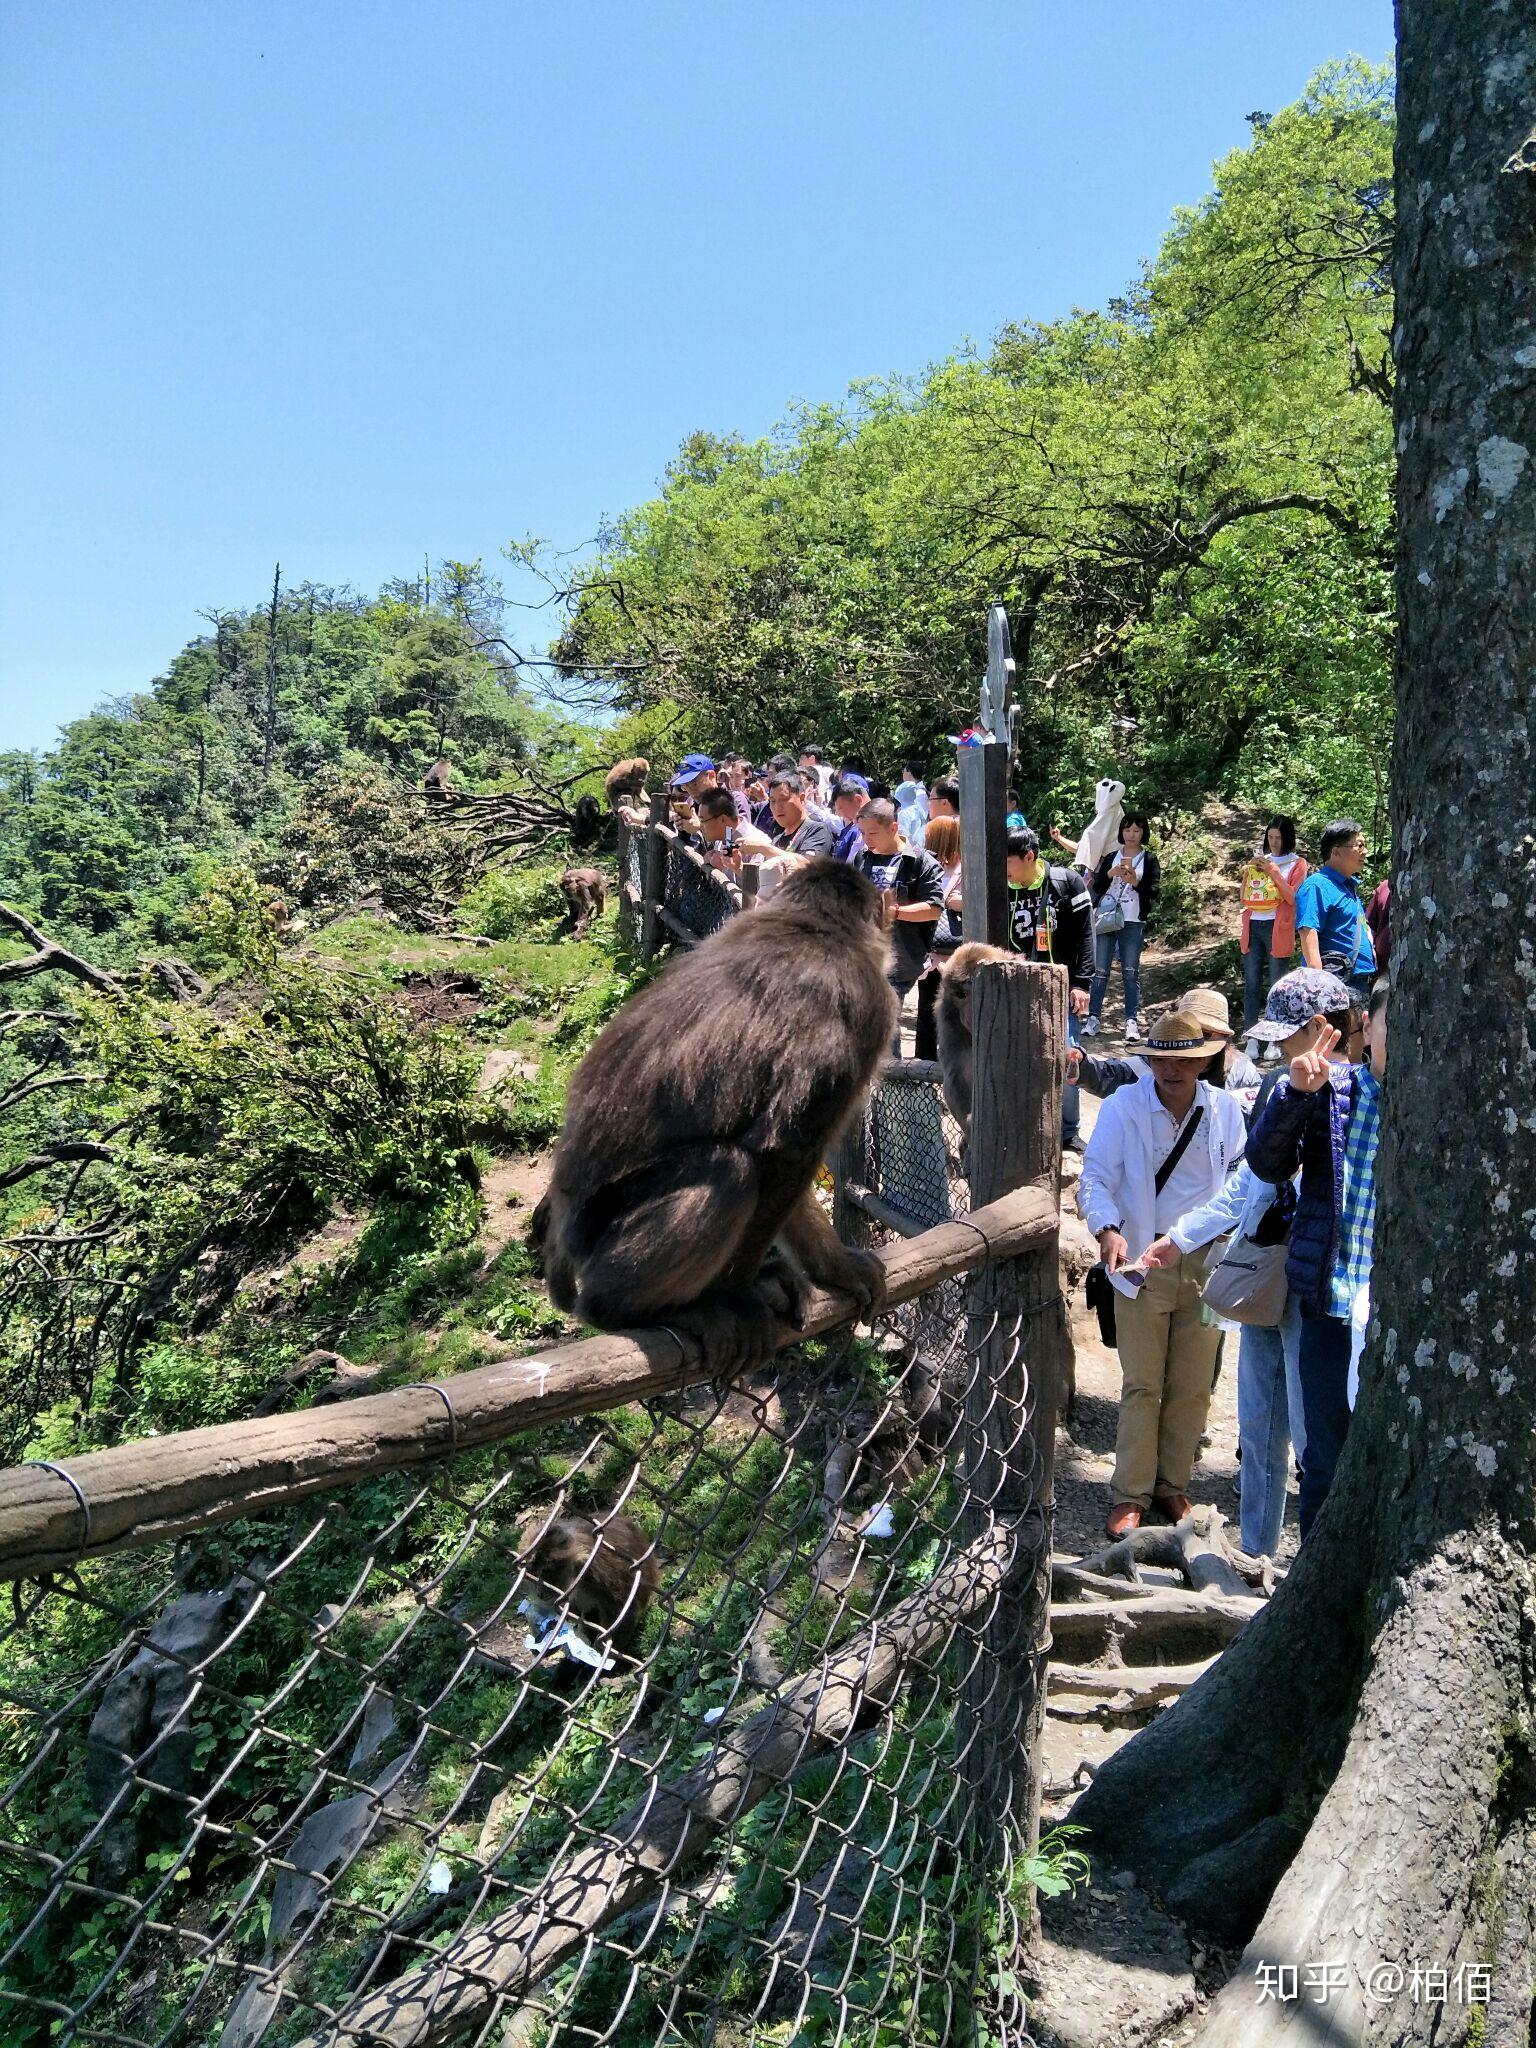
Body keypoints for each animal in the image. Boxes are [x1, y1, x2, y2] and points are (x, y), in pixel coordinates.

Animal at [532, 856, 897, 1368]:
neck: (812, 924)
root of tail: (563, 1229)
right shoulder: (872, 1007)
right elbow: (785, 1151)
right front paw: (736, 1295)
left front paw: (833, 1265)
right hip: (600, 1228)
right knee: (730, 1167)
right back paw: (625, 1307)